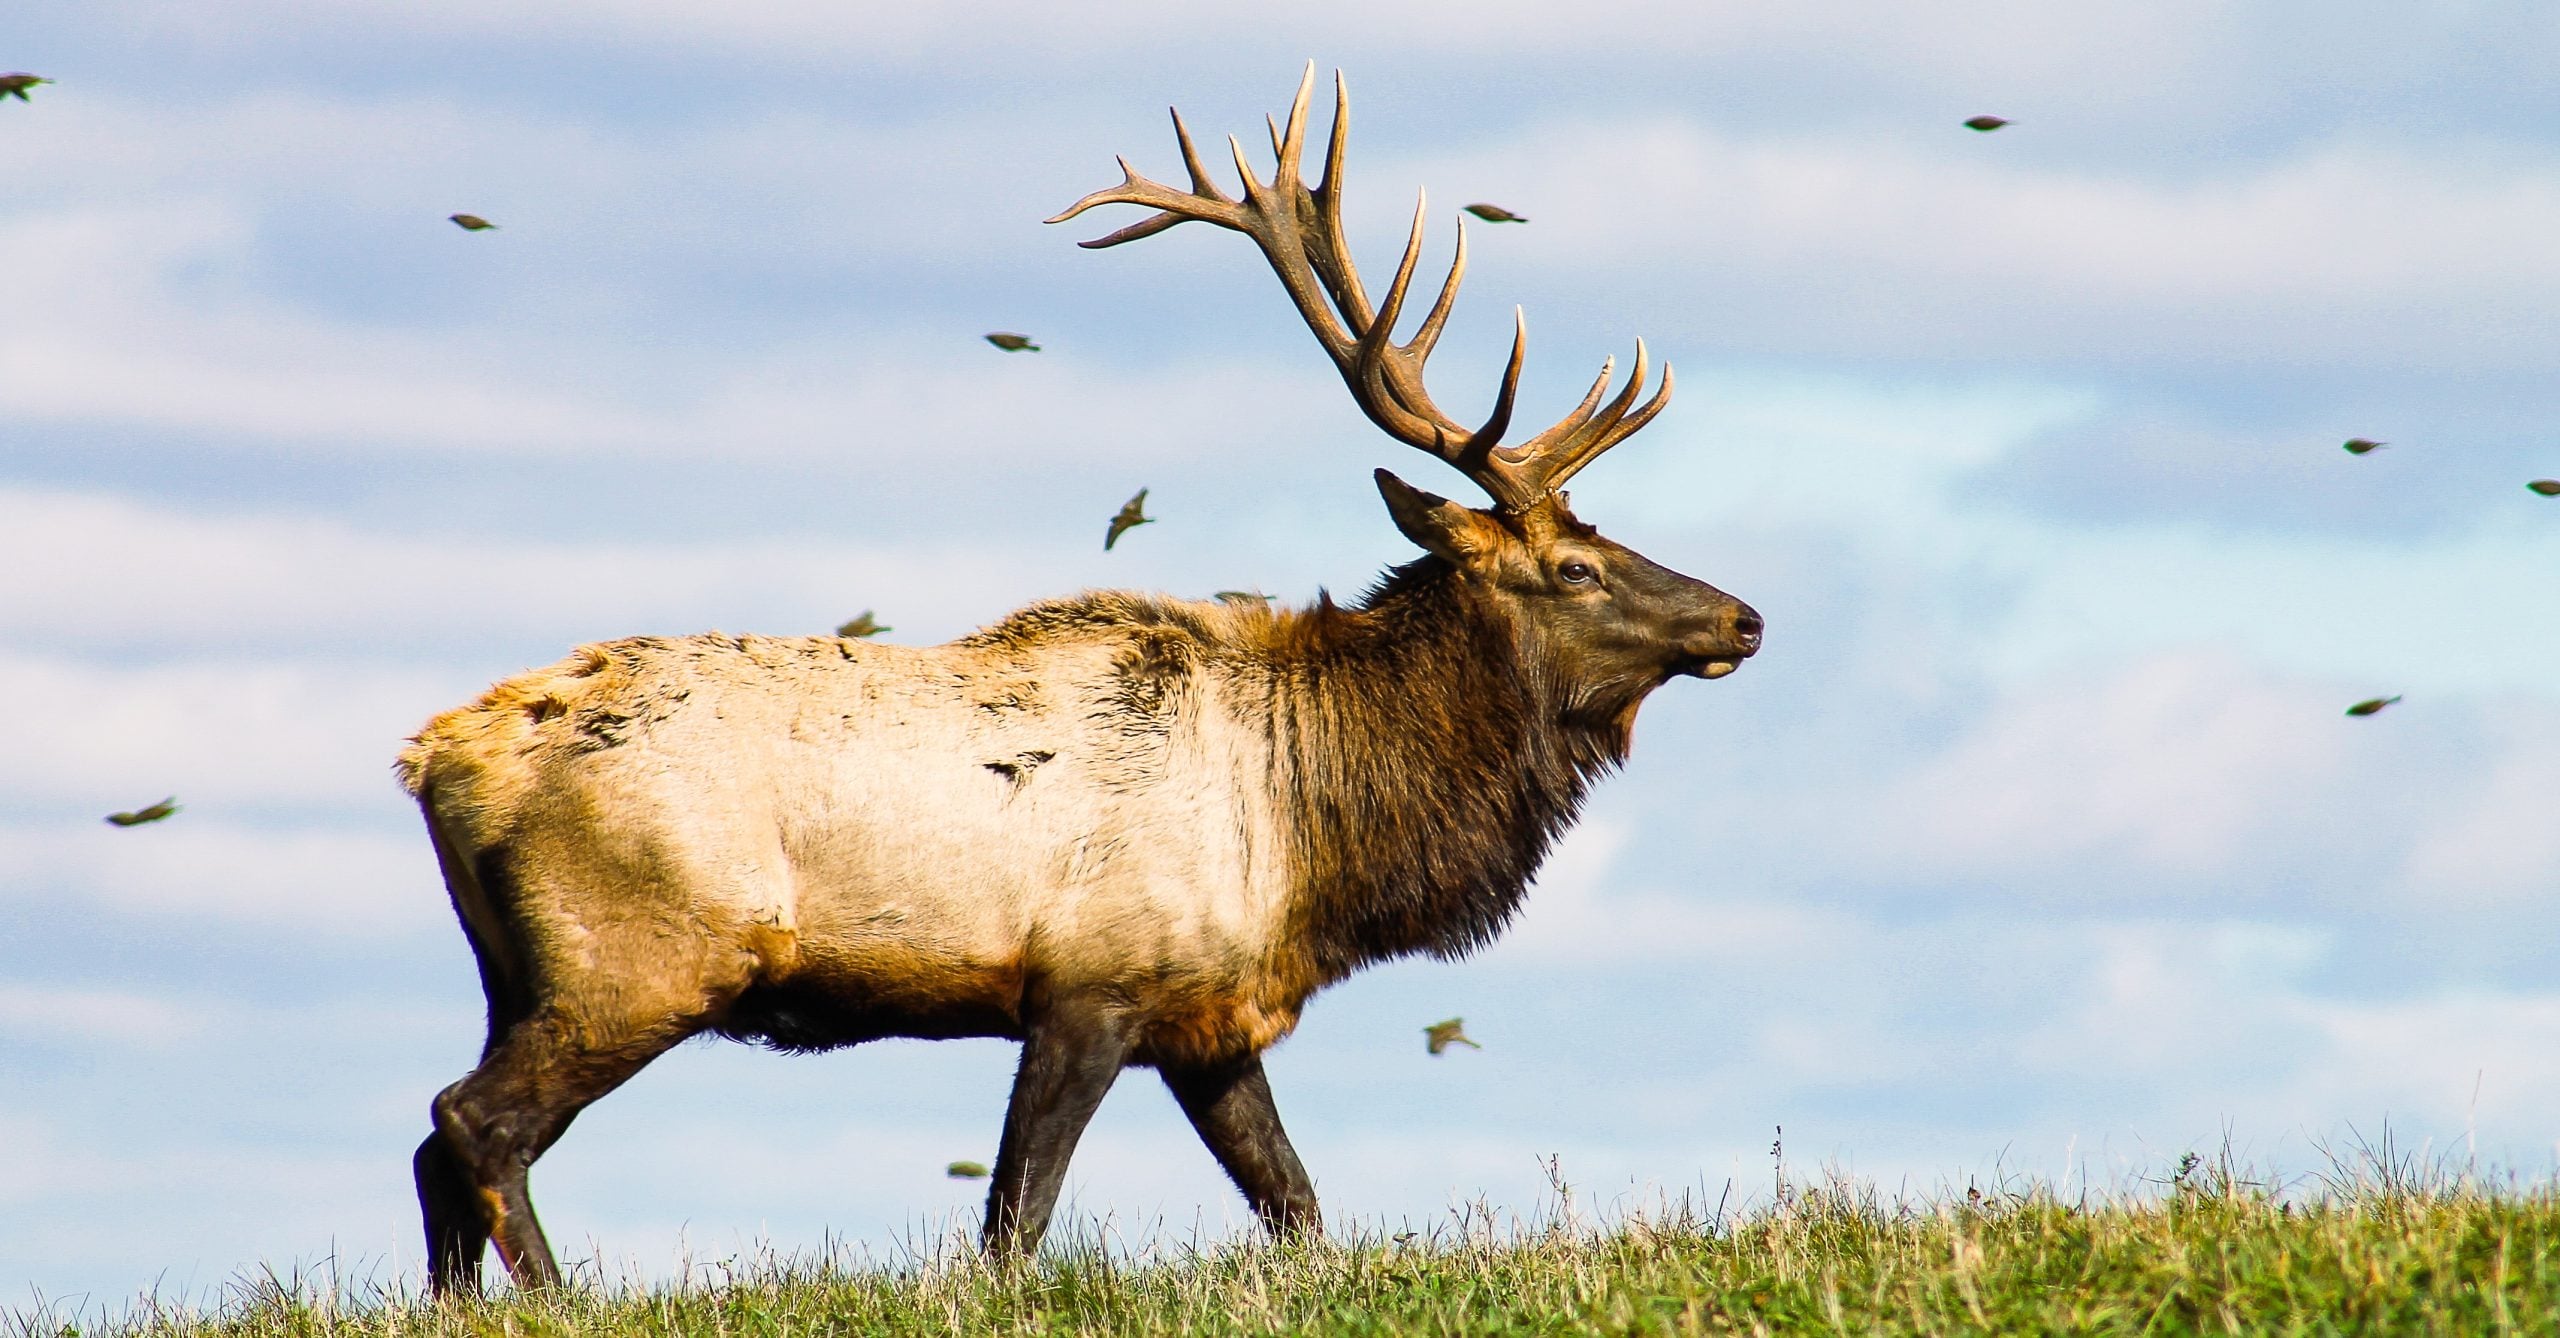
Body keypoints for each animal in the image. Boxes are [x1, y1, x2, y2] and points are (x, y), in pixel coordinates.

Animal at [397, 65, 1762, 1294]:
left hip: (518, 971)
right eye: (1577, 567)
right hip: (641, 958)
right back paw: (556, 1301)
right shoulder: (1088, 983)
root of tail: (438, 758)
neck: (1310, 846)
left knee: (436, 1142)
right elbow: (1016, 1222)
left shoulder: (1210, 1015)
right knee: (474, 1124)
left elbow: (1297, 1204)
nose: (1742, 617)